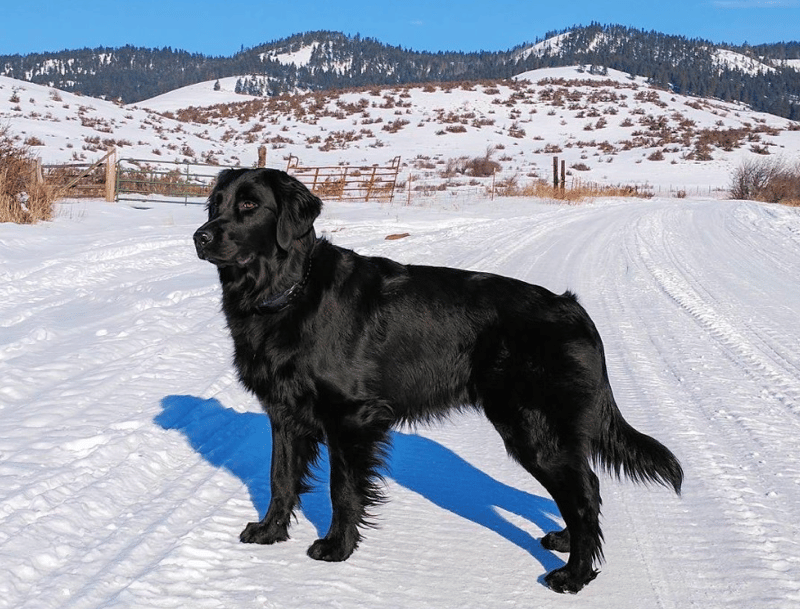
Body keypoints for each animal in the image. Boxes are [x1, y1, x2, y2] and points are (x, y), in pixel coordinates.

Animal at [194, 169, 680, 592]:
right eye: (215, 204)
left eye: (250, 205)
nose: (200, 237)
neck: (289, 291)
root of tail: (575, 308)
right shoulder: (284, 414)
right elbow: (280, 478)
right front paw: (269, 531)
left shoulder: (350, 417)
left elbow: (342, 489)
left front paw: (337, 547)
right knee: (585, 487)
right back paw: (563, 541)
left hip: (534, 429)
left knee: (582, 495)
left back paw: (573, 575)